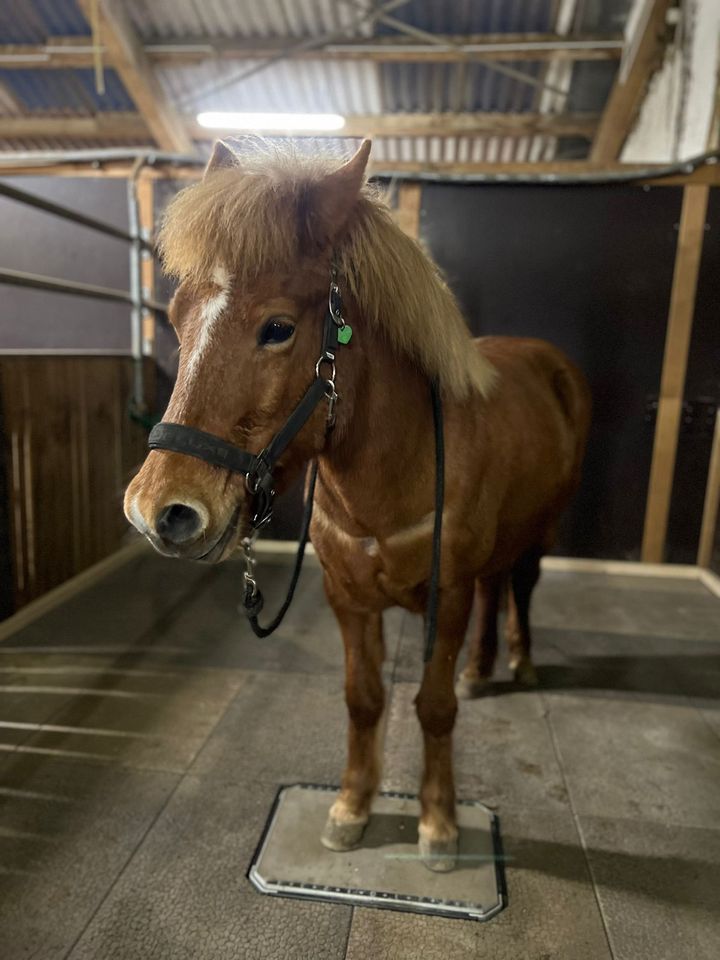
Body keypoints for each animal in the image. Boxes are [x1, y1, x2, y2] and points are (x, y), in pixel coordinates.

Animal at [125, 141, 592, 872]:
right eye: (175, 317)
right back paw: (482, 668)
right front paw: (352, 807)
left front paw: (438, 824)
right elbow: (364, 700)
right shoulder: (347, 598)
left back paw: (517, 661)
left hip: (541, 530)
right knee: (498, 584)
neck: (395, 472)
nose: (159, 510)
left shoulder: (447, 597)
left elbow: (433, 706)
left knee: (519, 584)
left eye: (278, 328)